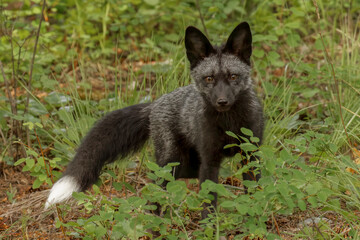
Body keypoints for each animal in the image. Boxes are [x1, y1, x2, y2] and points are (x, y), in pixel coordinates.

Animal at [46, 21, 262, 218]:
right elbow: (208, 200)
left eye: (233, 76)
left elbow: (254, 189)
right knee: (155, 187)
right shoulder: (210, 159)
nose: (222, 101)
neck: (229, 123)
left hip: (185, 163)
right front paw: (209, 226)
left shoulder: (251, 153)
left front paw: (255, 214)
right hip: (171, 160)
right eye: (209, 79)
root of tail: (155, 104)